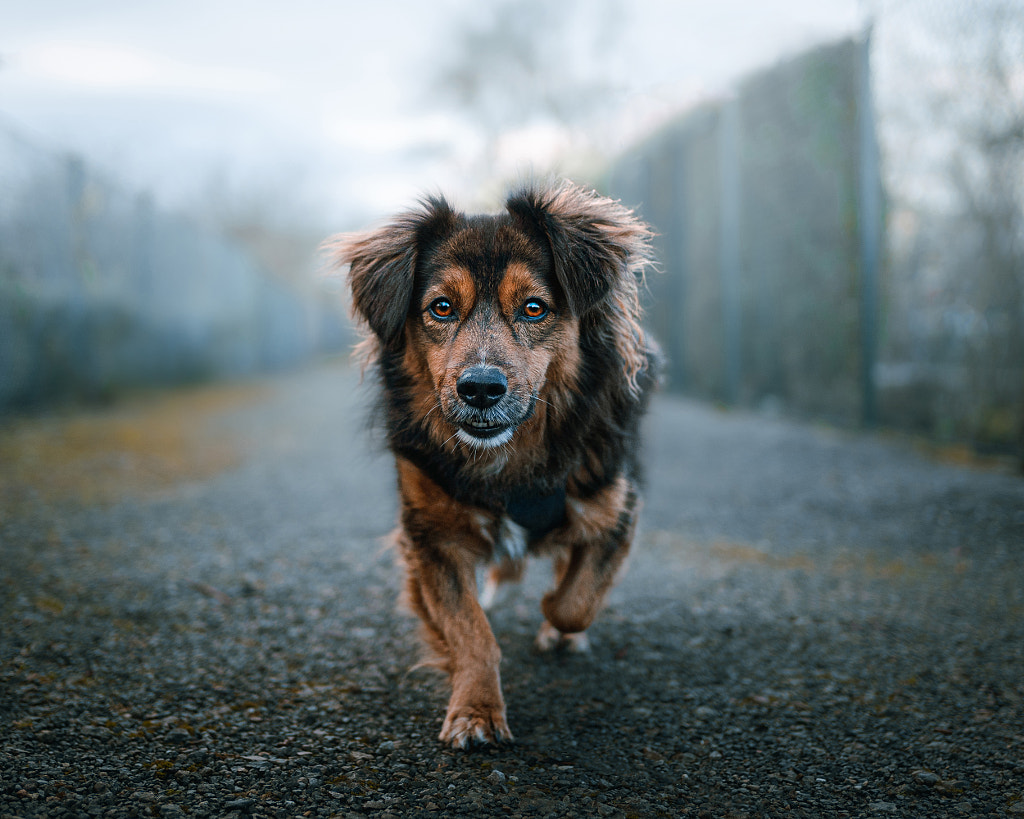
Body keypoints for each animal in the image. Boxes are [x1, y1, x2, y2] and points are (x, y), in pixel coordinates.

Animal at [331, 181, 659, 749]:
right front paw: (477, 710)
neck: (505, 462)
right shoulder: (429, 535)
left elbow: (574, 602)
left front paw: (553, 622)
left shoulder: (616, 508)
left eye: (533, 308)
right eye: (441, 308)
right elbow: (470, 629)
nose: (480, 389)